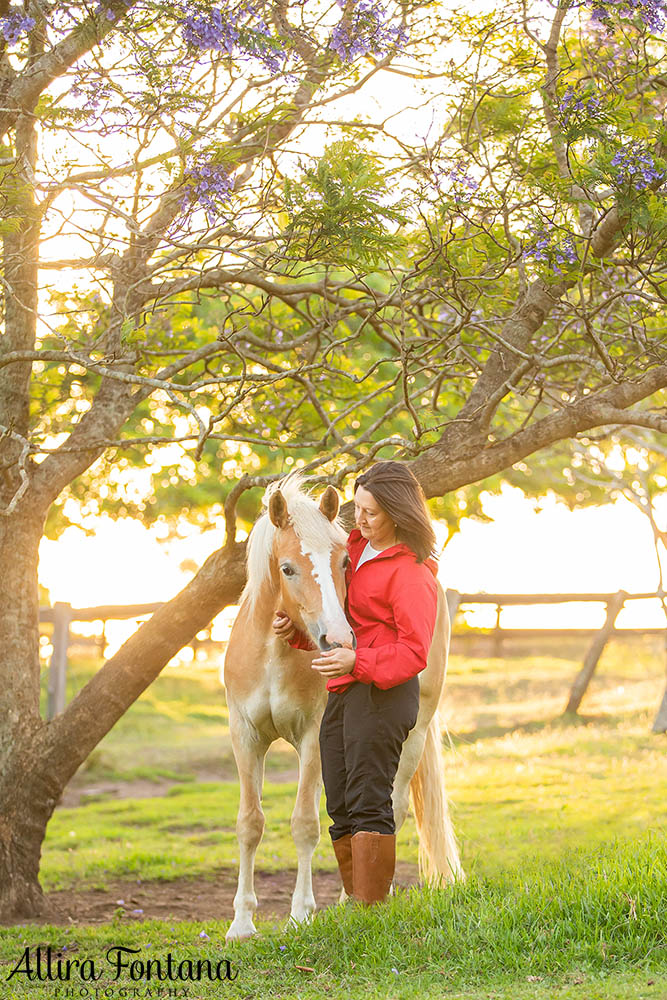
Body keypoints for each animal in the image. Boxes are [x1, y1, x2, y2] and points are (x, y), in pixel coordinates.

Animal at [222, 472, 462, 940]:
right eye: (287, 568)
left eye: (344, 563)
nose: (337, 640)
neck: (272, 656)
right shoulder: (245, 736)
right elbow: (249, 823)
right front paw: (241, 923)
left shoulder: (313, 737)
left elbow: (304, 824)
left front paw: (300, 914)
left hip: (414, 734)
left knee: (392, 809)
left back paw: (365, 899)